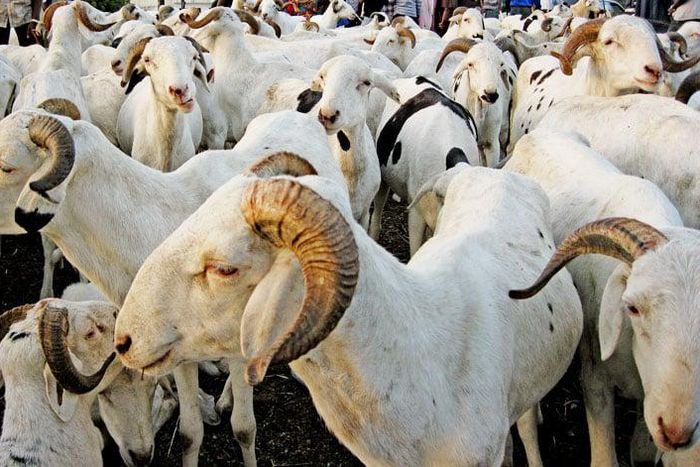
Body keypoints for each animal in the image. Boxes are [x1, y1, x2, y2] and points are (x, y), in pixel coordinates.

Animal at [505, 128, 685, 465]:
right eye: (633, 307)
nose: (675, 429)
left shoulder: (649, 401)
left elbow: (641, 451)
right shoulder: (595, 376)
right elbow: (604, 457)